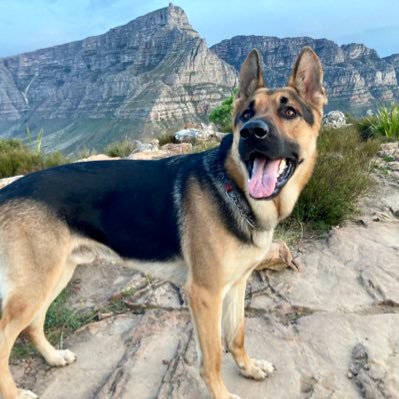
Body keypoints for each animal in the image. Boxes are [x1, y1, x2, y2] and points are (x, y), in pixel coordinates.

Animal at [0, 47, 326, 399]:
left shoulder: (237, 284)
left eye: (289, 111)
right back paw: (15, 392)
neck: (233, 189)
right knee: (7, 336)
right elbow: (213, 355)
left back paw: (54, 357)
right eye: (245, 115)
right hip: (35, 285)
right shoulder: (205, 294)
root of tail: (7, 190)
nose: (252, 131)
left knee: (33, 325)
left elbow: (236, 335)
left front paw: (248, 368)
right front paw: (222, 393)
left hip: (56, 274)